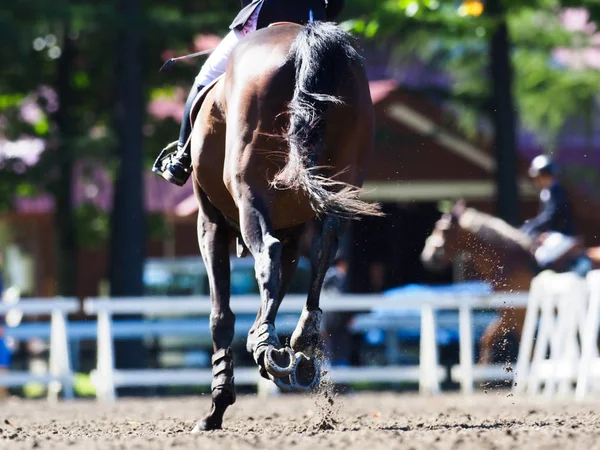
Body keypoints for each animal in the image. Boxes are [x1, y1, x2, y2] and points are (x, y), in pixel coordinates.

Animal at [190, 22, 382, 432]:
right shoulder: (292, 229)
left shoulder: (210, 223)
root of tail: (305, 38)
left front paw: (217, 405)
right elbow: (281, 283)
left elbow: (221, 314)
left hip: (249, 193)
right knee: (324, 249)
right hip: (336, 189)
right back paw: (301, 337)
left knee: (267, 254)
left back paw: (267, 346)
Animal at [420, 200, 600, 366]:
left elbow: (523, 349)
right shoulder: (508, 314)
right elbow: (488, 338)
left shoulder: (517, 314)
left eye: (444, 229)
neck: (509, 263)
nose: (428, 257)